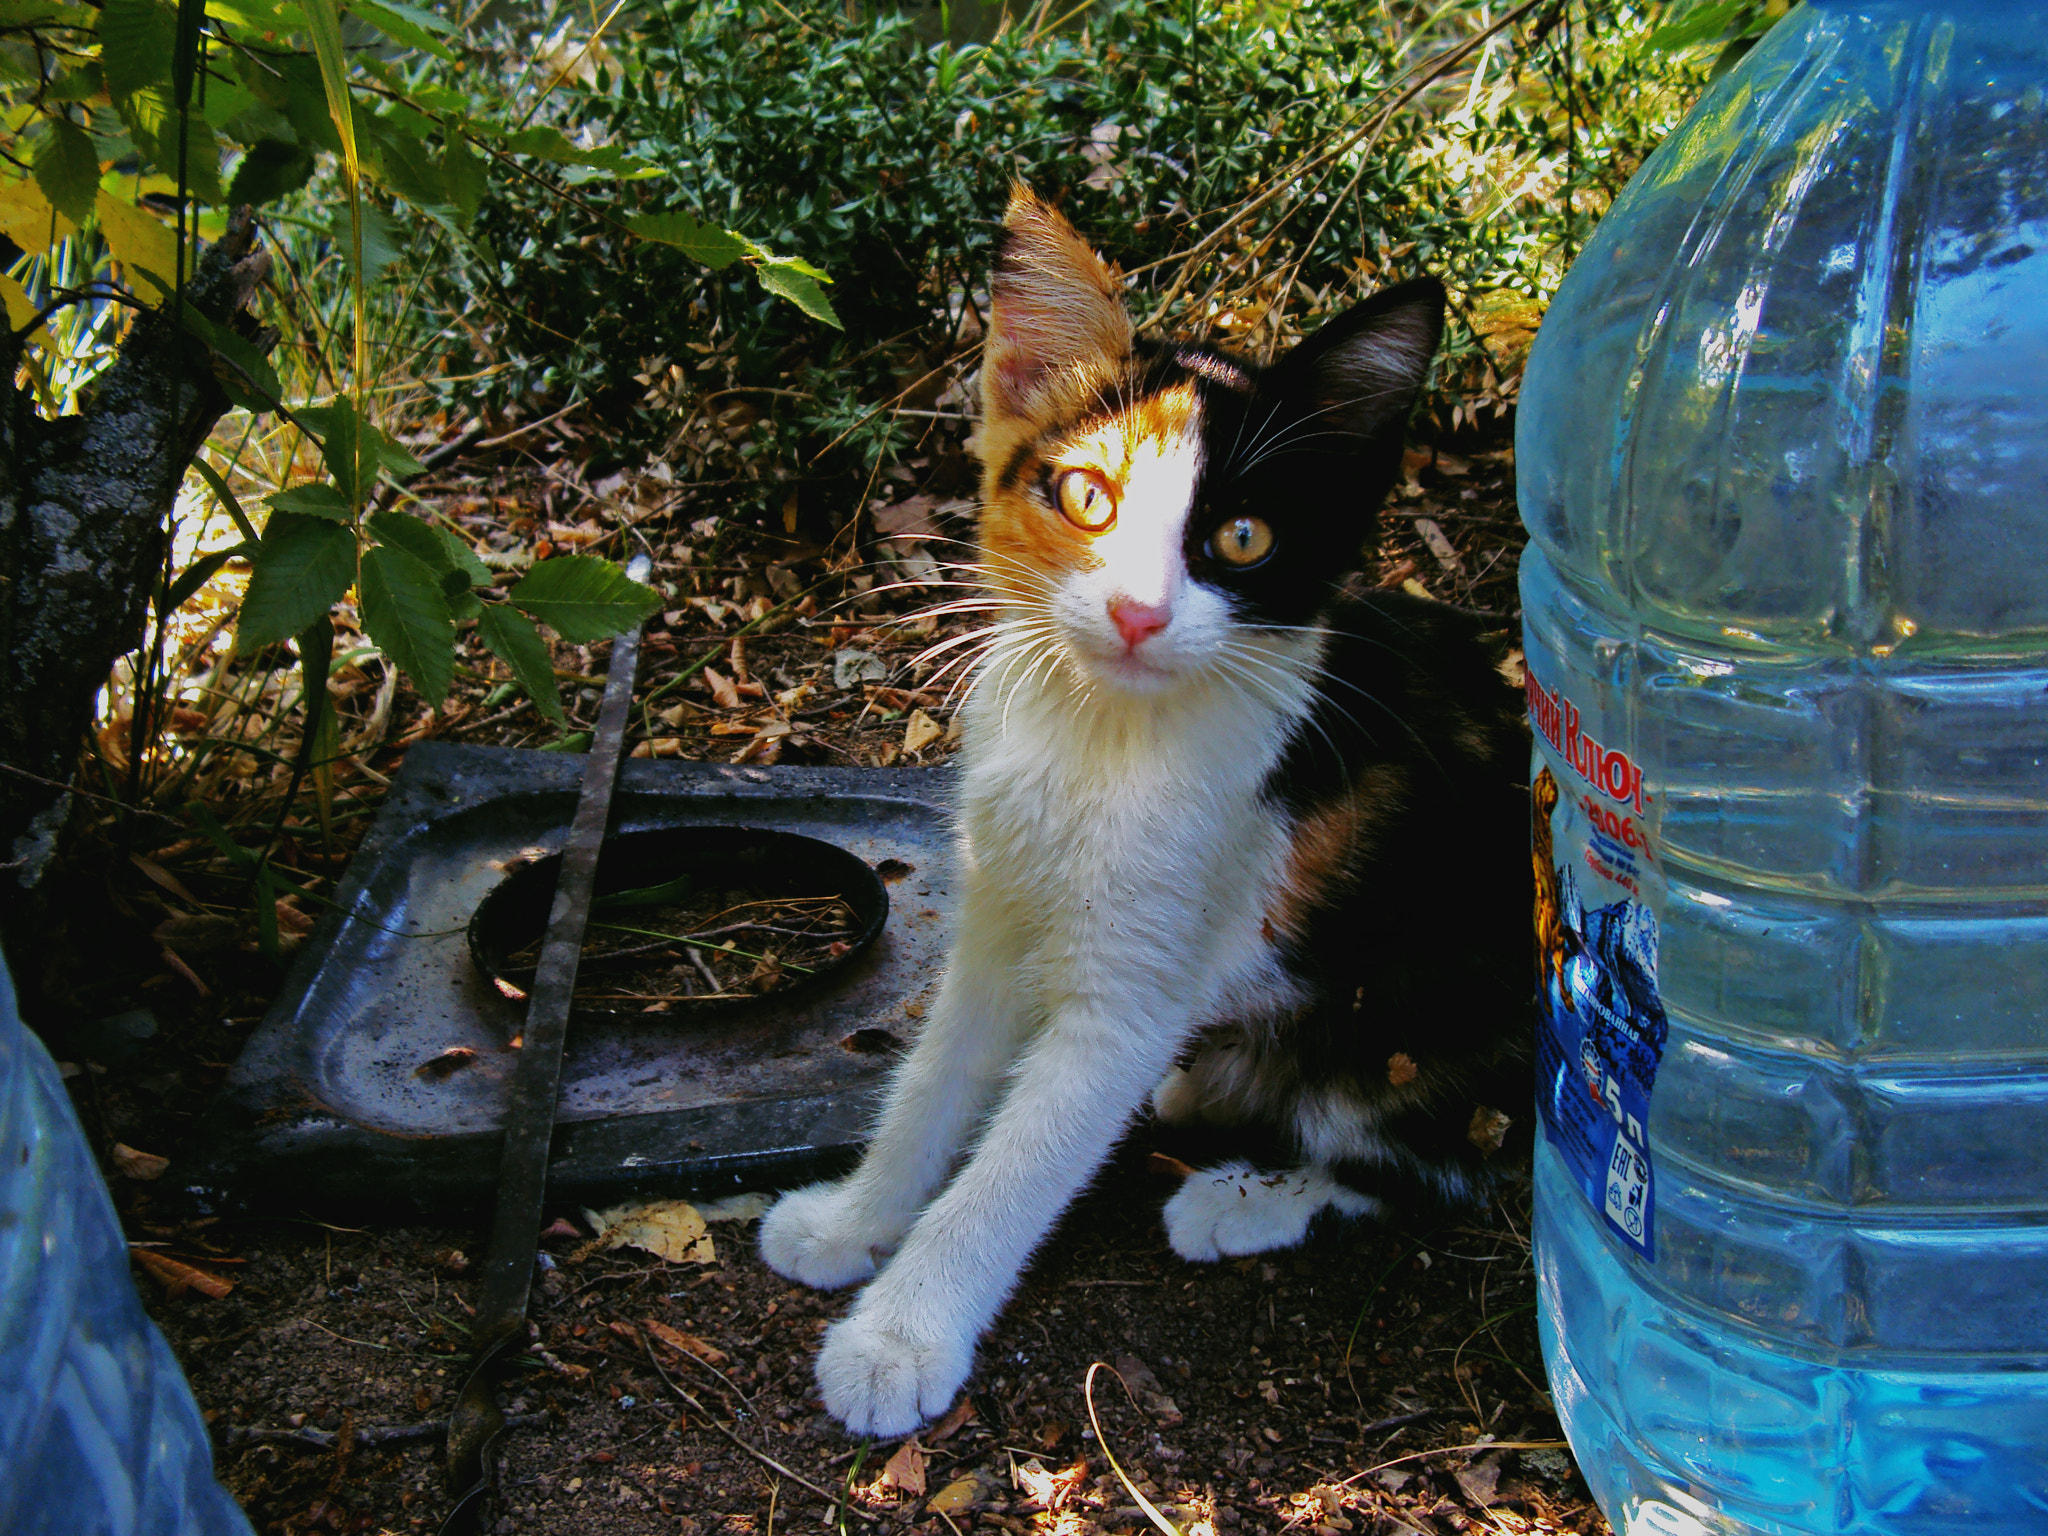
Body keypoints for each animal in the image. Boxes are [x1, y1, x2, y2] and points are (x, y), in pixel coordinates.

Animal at [761, 192, 1531, 1441]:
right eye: (1086, 494)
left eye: (1242, 538)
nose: (1136, 612)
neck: (1101, 737)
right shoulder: (995, 913)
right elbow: (930, 1081)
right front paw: (851, 1221)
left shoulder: (1139, 985)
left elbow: (1017, 1165)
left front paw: (899, 1337)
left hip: (1420, 1025)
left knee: (1422, 1163)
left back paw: (1245, 1198)